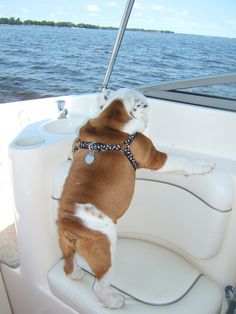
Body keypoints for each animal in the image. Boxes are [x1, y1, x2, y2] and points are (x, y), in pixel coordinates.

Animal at [56, 87, 214, 308]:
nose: (149, 117)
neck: (110, 120)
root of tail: (70, 225)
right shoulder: (156, 158)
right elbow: (181, 161)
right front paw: (202, 165)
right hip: (105, 251)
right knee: (100, 286)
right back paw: (114, 302)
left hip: (65, 246)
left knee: (68, 266)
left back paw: (77, 273)